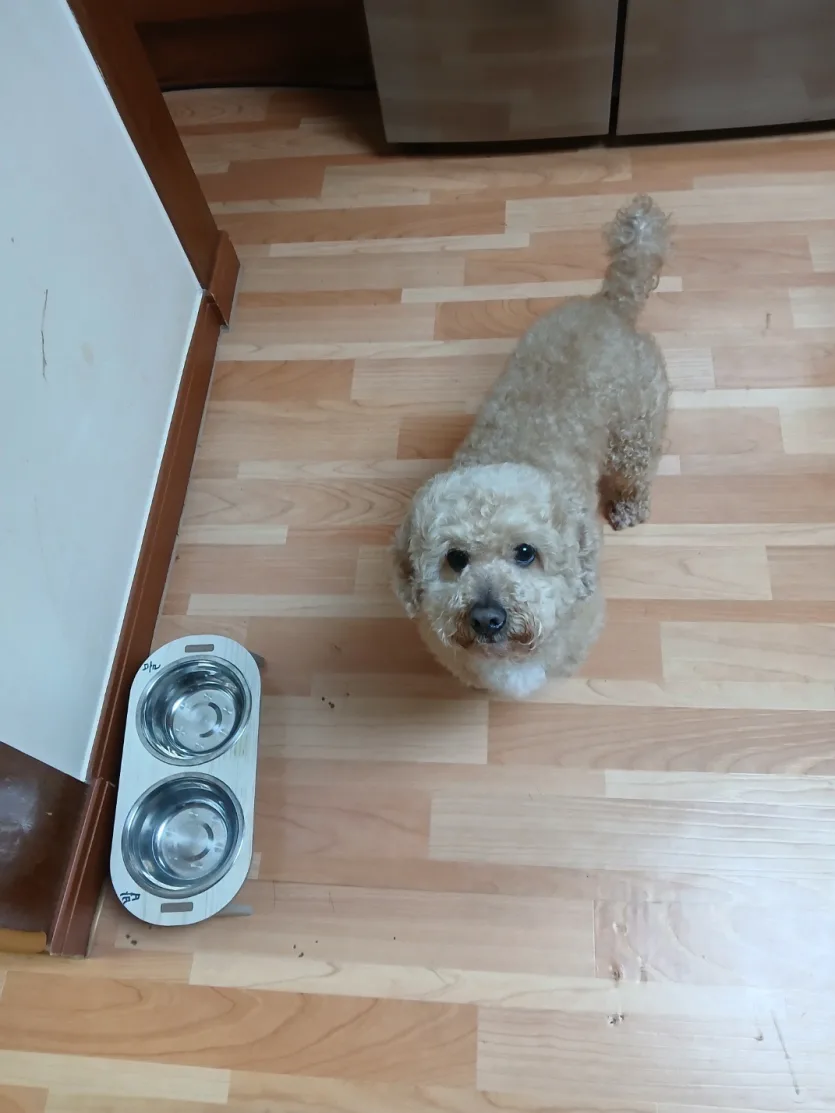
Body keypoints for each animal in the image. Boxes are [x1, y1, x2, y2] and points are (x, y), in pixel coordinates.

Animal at [392, 194, 670, 699]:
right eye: (455, 559)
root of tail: (609, 305)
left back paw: (630, 505)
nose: (488, 617)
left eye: (526, 553)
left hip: (636, 430)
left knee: (637, 470)